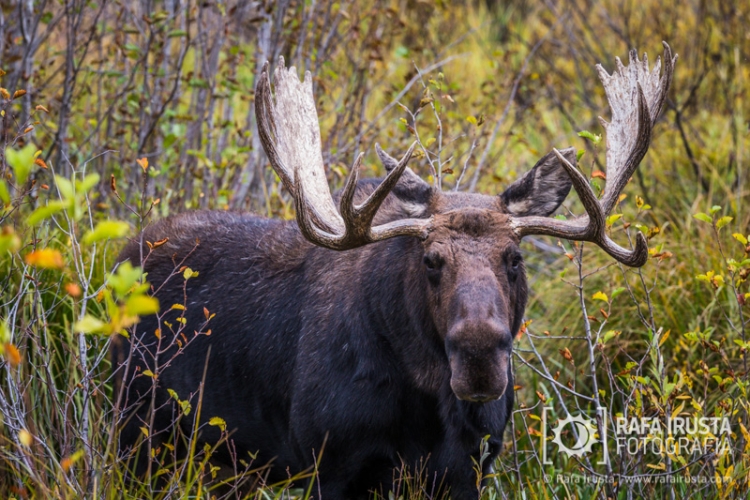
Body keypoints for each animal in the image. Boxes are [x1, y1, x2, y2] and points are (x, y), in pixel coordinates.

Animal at [114, 43, 675, 499]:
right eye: (430, 260)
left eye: (514, 258)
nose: (479, 359)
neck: (425, 409)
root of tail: (124, 255)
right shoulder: (330, 465)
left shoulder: (469, 470)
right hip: (136, 436)